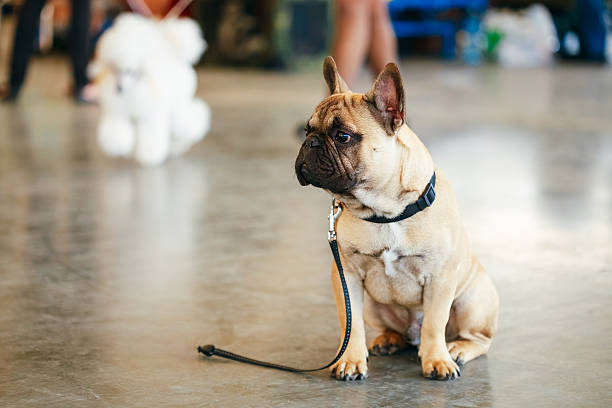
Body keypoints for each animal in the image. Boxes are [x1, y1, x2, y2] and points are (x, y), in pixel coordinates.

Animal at [90, 13, 210, 166]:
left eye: (130, 71)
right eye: (116, 69)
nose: (119, 89)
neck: (136, 87)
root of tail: (178, 56)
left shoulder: (151, 116)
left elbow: (151, 136)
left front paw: (149, 157)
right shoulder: (119, 112)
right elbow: (117, 130)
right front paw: (119, 147)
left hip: (177, 106)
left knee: (191, 120)